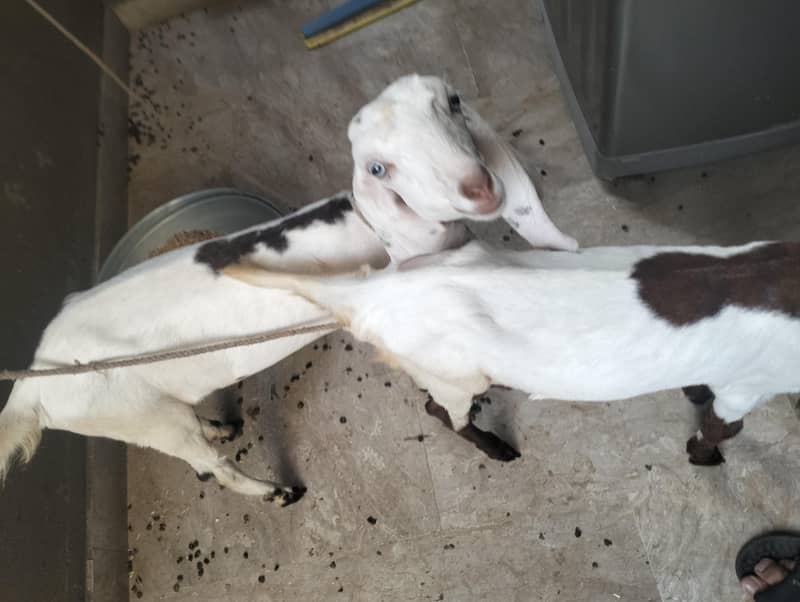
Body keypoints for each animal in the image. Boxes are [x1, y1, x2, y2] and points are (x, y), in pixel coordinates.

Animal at [0, 75, 575, 505]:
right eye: (378, 167)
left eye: (454, 103)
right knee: (210, 469)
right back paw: (278, 492)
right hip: (136, 415)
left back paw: (221, 429)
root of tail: (32, 384)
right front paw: (490, 440)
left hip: (155, 408)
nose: (478, 187)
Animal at [225, 239, 800, 466]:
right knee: (442, 412)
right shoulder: (747, 388)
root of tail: (375, 292)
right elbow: (721, 429)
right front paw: (703, 454)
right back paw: (495, 446)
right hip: (457, 375)